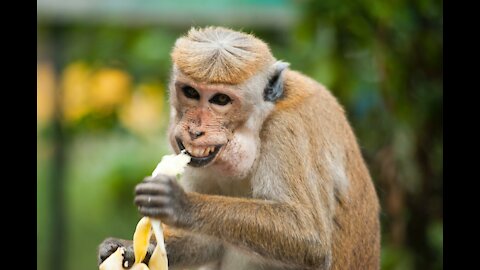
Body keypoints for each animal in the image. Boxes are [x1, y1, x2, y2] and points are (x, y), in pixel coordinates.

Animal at [97, 25, 380, 270]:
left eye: (221, 99)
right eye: (191, 92)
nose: (195, 131)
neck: (261, 122)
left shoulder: (288, 131)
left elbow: (310, 237)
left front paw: (180, 203)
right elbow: (207, 241)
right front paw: (126, 249)